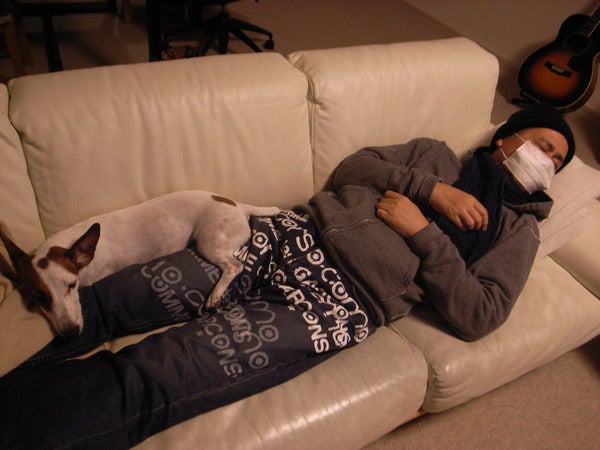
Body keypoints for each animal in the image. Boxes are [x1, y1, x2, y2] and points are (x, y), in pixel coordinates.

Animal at [0, 190, 279, 338]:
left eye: (71, 285)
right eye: (38, 297)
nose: (70, 333)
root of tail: (238, 205)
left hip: (208, 243)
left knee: (234, 267)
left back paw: (215, 294)